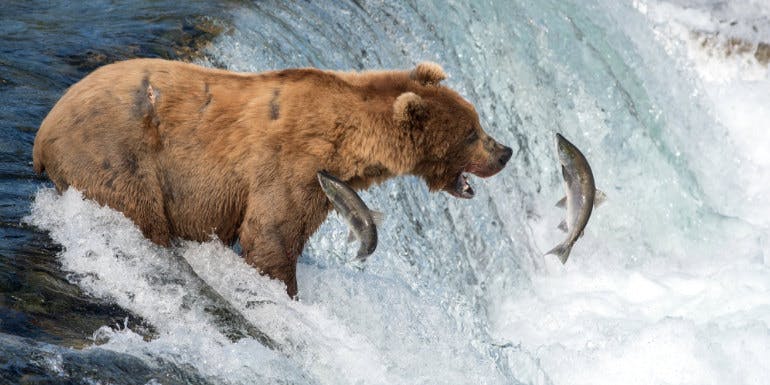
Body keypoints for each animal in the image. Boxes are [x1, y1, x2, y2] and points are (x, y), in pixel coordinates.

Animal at [33, 58, 510, 296]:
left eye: (477, 122)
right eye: (471, 133)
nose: (505, 151)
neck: (350, 141)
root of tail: (43, 131)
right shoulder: (291, 165)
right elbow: (272, 234)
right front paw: (286, 290)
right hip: (115, 155)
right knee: (141, 216)